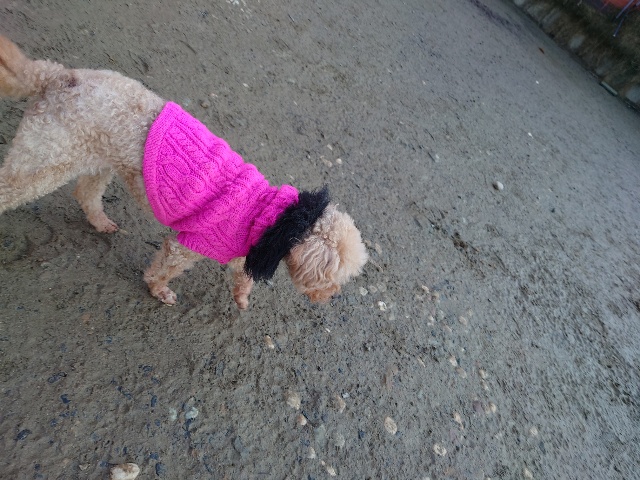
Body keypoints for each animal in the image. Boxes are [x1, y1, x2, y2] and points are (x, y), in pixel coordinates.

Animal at [0, 35, 368, 309]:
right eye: (332, 279)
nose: (330, 297)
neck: (271, 217)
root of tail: (59, 76)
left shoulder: (241, 248)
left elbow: (241, 273)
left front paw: (242, 296)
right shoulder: (187, 244)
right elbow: (166, 269)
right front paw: (158, 290)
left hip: (97, 157)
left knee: (86, 192)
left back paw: (101, 222)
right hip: (45, 159)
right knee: (13, 187)